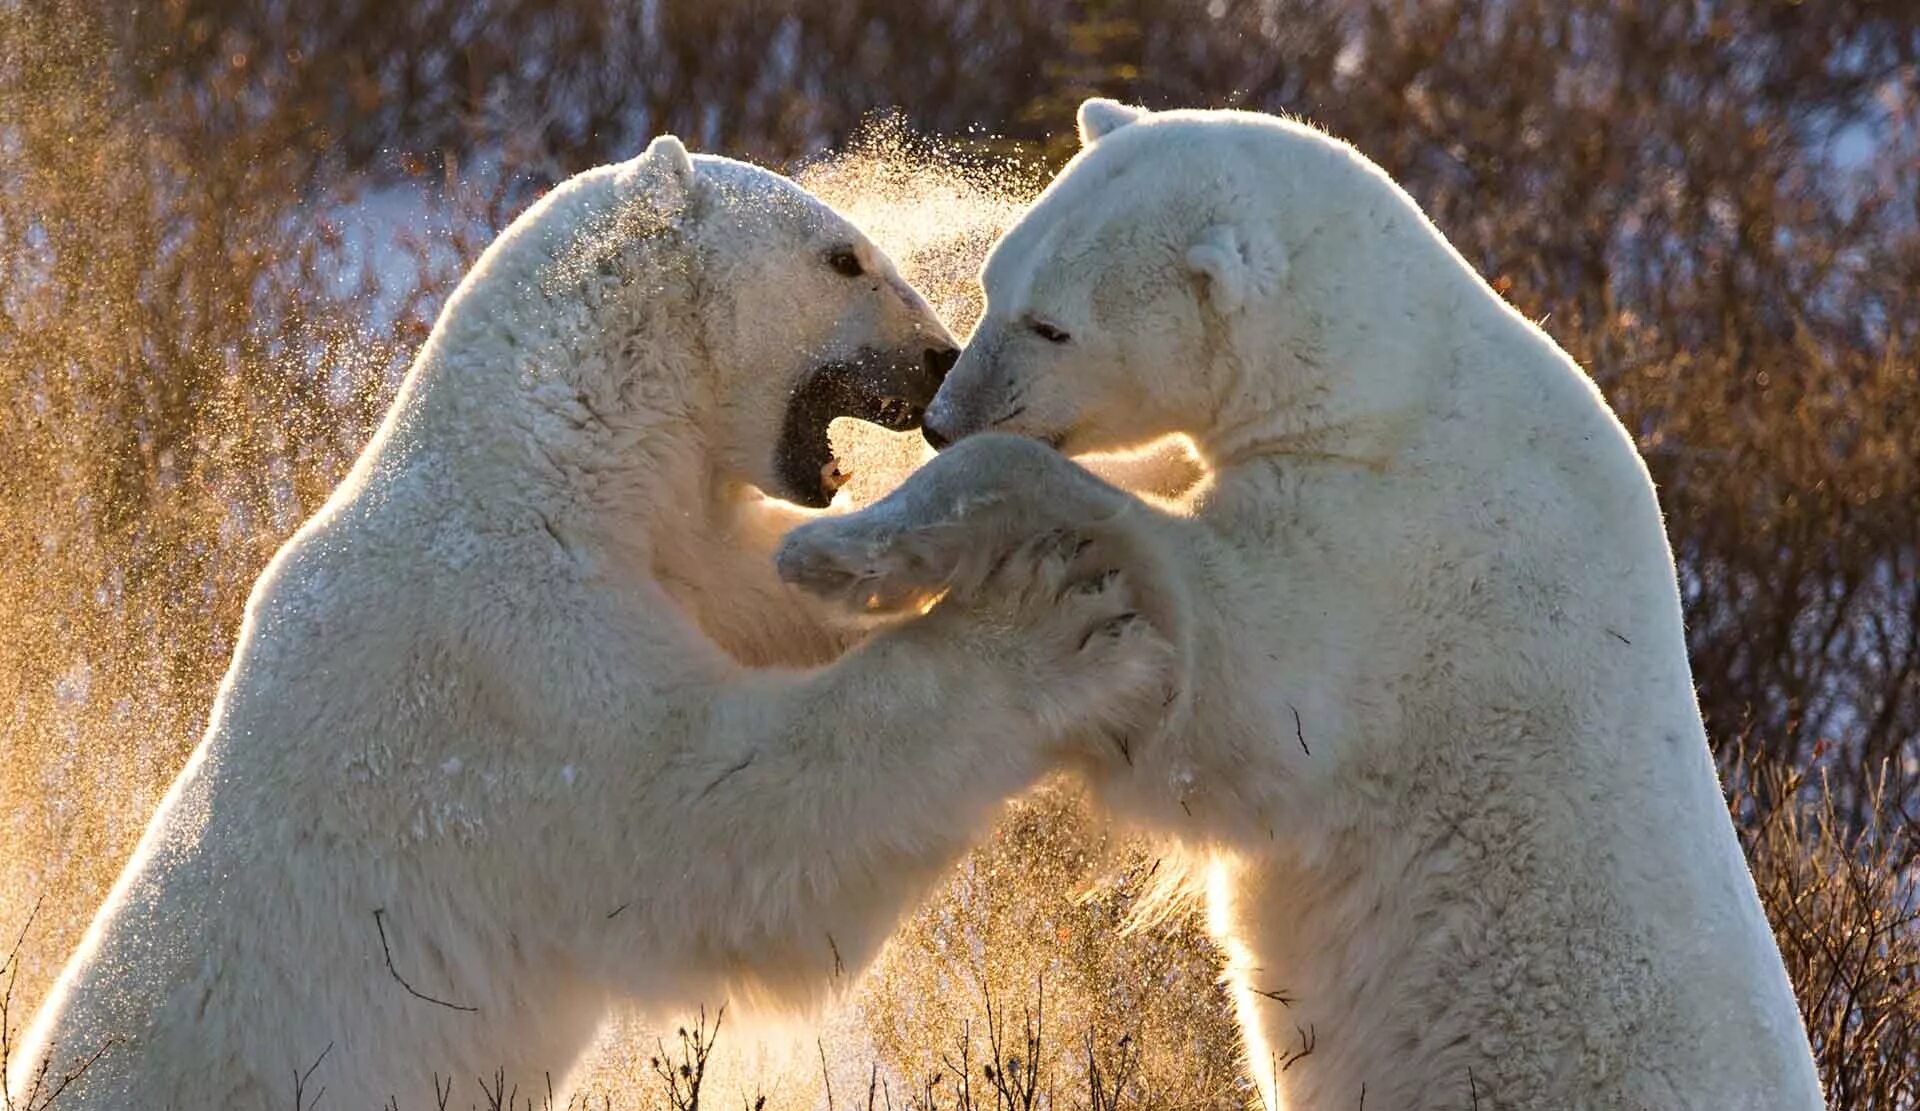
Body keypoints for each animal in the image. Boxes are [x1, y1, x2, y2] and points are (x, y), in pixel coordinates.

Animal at [11, 139, 1167, 1111]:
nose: (937, 357)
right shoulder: (504, 668)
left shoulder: (670, 563)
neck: (544, 465)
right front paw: (1050, 616)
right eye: (845, 257)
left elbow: (765, 593)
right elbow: (706, 820)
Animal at [775, 104, 1812, 1111]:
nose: (943, 419)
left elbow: (1229, 691)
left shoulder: (1398, 559)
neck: (1385, 382)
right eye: (993, 281)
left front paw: (839, 554)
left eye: (1053, 327)